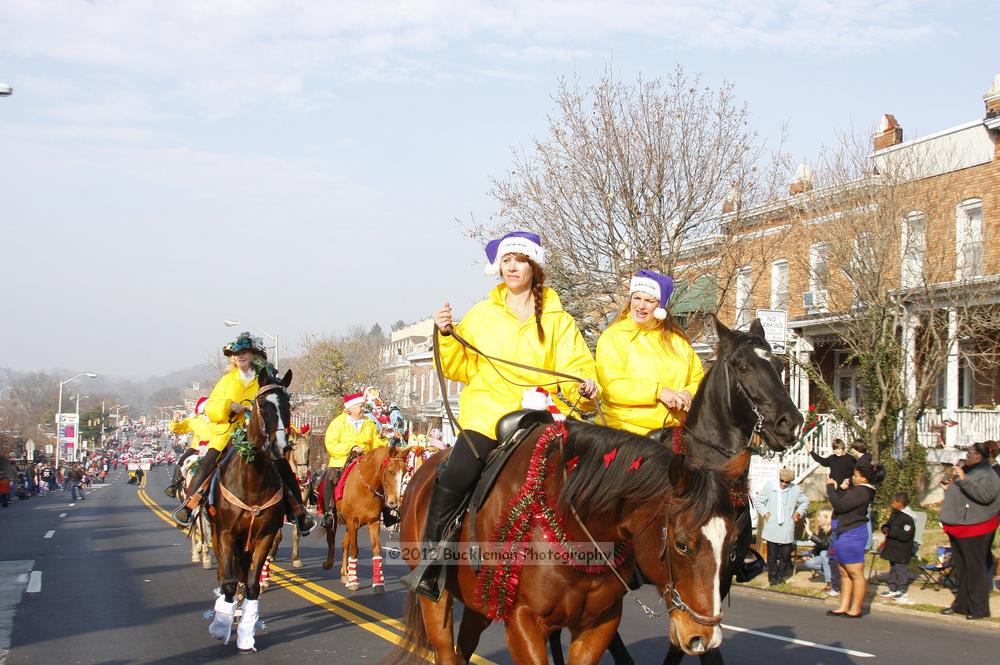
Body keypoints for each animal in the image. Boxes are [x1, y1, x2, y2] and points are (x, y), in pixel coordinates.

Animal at [206, 368, 292, 652]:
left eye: (288, 406)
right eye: (262, 405)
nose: (281, 447)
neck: (252, 479)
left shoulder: (265, 535)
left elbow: (253, 583)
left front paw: (246, 635)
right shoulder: (226, 534)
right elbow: (229, 580)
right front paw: (220, 626)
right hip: (217, 534)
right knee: (224, 573)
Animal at [324, 446, 410, 592]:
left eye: (404, 472)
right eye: (390, 471)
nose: (394, 503)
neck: (365, 488)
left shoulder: (373, 522)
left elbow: (376, 548)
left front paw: (378, 582)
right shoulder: (352, 522)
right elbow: (354, 550)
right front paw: (353, 581)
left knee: (344, 544)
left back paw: (345, 574)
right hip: (337, 520)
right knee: (332, 539)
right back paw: (330, 564)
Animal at [394, 420, 748, 664]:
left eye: (732, 543)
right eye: (682, 544)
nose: (705, 638)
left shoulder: (599, 625)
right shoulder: (523, 622)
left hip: (479, 602)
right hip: (435, 600)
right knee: (445, 649)